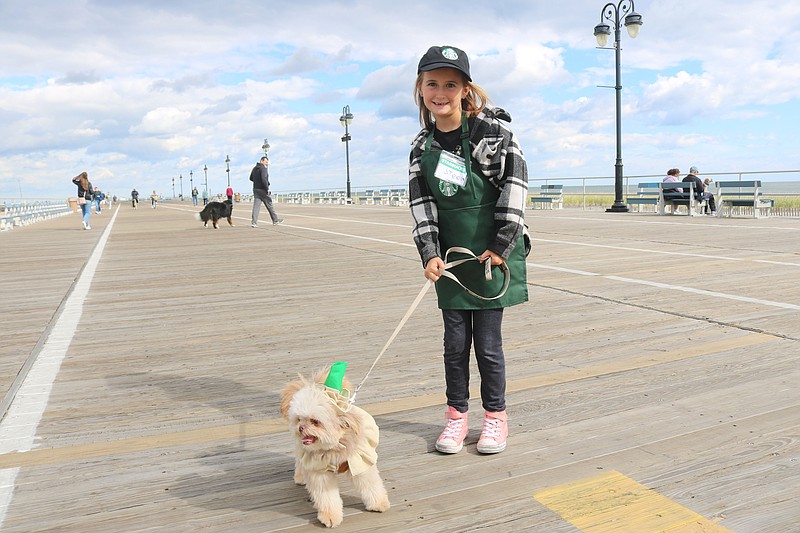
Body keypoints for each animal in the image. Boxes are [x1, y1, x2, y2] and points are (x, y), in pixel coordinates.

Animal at [282, 362, 390, 528]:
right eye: (299, 419)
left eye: (315, 421)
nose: (301, 427)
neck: (334, 447)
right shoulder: (319, 472)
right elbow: (327, 498)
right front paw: (331, 517)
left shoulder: (360, 462)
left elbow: (371, 486)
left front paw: (378, 503)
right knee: (300, 462)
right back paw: (300, 477)